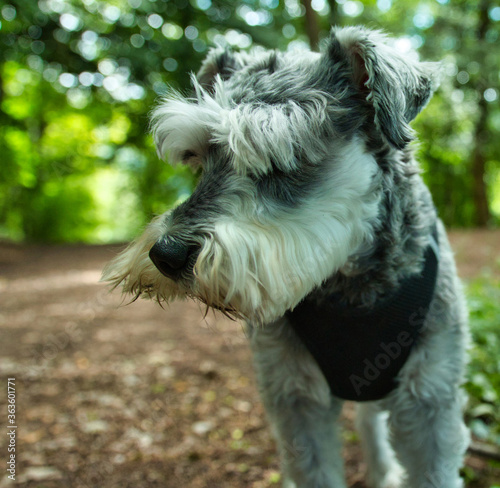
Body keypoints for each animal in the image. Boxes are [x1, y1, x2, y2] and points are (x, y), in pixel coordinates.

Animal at [103, 26, 470, 488]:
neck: (350, 288)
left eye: (280, 162)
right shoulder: (295, 398)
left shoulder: (429, 401)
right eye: (199, 160)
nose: (165, 255)